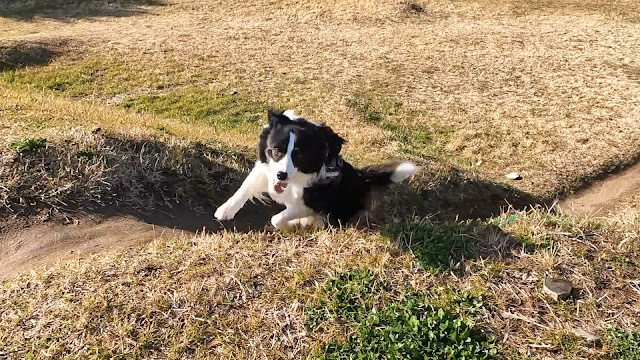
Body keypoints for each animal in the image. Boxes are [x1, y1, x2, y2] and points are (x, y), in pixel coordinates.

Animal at [212, 108, 418, 229]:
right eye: (276, 151)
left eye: (299, 155)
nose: (281, 175)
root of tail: (362, 177)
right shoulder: (267, 170)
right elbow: (245, 187)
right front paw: (225, 210)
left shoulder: (310, 202)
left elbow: (278, 218)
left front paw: (293, 226)